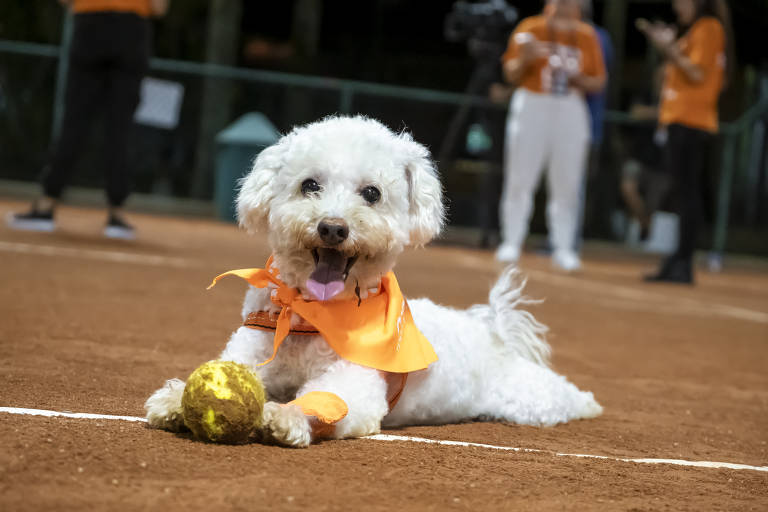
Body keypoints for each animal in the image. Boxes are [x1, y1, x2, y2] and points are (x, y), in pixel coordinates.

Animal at [142, 114, 600, 446]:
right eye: (309, 185)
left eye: (372, 193)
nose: (332, 228)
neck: (313, 314)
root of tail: (494, 329)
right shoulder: (252, 351)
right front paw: (174, 399)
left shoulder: (357, 384)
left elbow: (328, 402)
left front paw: (287, 416)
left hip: (531, 398)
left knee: (564, 396)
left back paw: (589, 405)